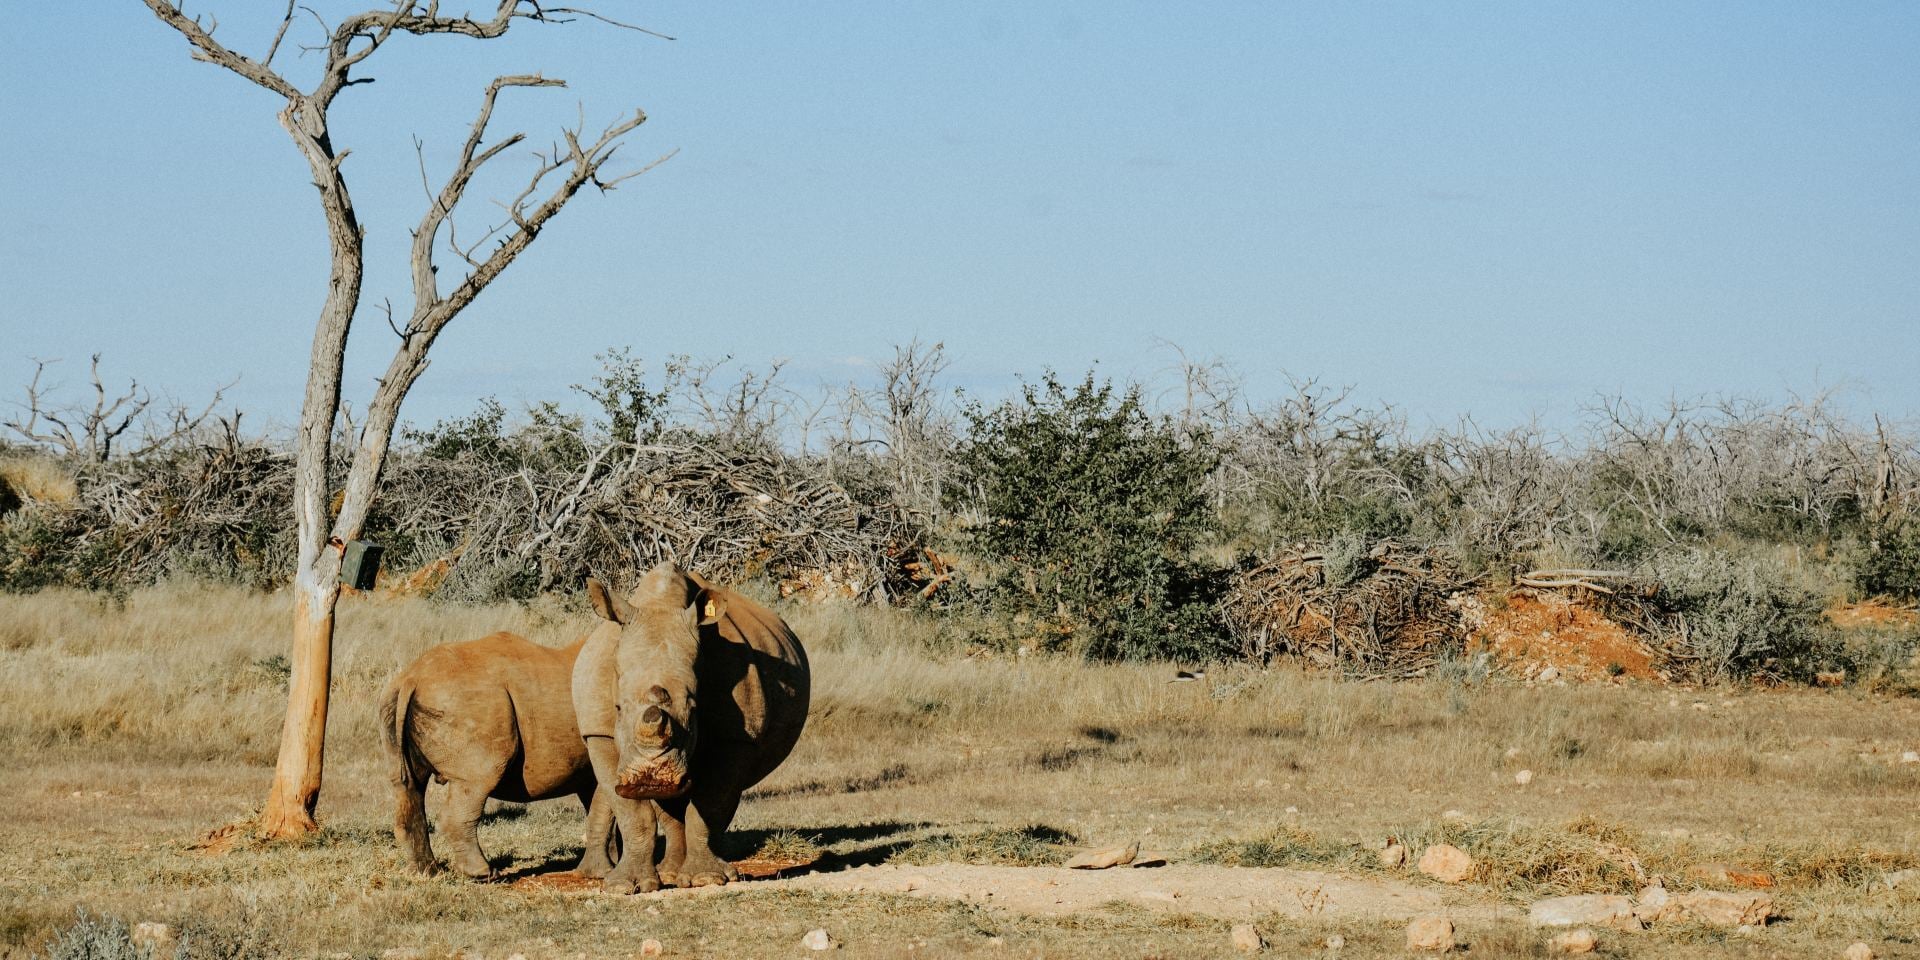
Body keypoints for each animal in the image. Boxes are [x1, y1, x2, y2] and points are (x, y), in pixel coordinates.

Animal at [381, 631, 618, 879]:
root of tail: (412, 678)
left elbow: (602, 808)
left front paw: (613, 864)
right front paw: (603, 873)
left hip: (396, 699)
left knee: (409, 785)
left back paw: (425, 872)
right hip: (468, 701)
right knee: (477, 780)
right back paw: (482, 874)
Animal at [574, 563, 810, 892]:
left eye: (694, 707)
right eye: (618, 708)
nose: (652, 778)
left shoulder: (736, 736)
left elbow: (709, 803)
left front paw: (707, 879)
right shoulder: (599, 732)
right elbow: (632, 811)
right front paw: (624, 886)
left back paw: (695, 872)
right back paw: (671, 874)